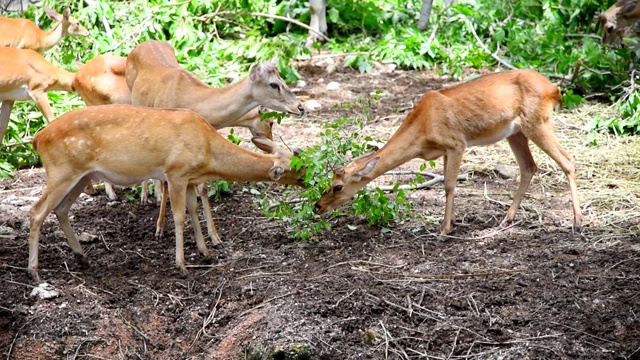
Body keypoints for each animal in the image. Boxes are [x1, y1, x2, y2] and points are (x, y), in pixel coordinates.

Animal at [26, 102, 304, 282]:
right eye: (298, 172)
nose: (310, 183)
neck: (208, 151)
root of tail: (38, 139)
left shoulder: (190, 178)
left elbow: (193, 210)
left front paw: (206, 253)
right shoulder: (176, 172)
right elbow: (179, 216)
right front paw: (182, 265)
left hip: (81, 176)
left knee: (61, 210)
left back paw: (82, 258)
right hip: (61, 171)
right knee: (36, 212)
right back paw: (35, 272)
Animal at [318, 69, 584, 235]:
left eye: (338, 186)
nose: (317, 206)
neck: (422, 129)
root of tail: (555, 89)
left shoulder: (457, 143)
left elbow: (448, 185)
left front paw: (444, 229)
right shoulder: (446, 150)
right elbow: (448, 183)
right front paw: (452, 221)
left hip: (537, 122)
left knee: (568, 160)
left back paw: (577, 221)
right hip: (516, 133)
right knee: (529, 167)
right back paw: (506, 219)